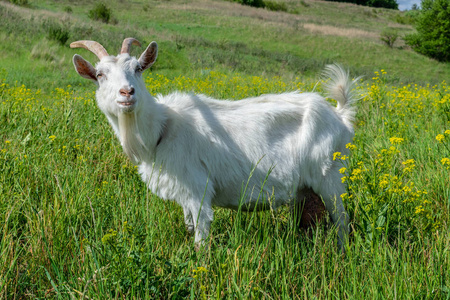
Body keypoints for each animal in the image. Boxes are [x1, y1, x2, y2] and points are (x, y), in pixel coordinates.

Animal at [71, 37, 358, 248]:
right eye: (100, 75)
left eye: (138, 69)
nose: (127, 92)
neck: (162, 129)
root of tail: (340, 116)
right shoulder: (184, 193)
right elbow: (188, 227)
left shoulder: (199, 189)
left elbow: (200, 236)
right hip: (306, 189)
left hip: (330, 176)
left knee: (342, 220)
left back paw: (341, 252)